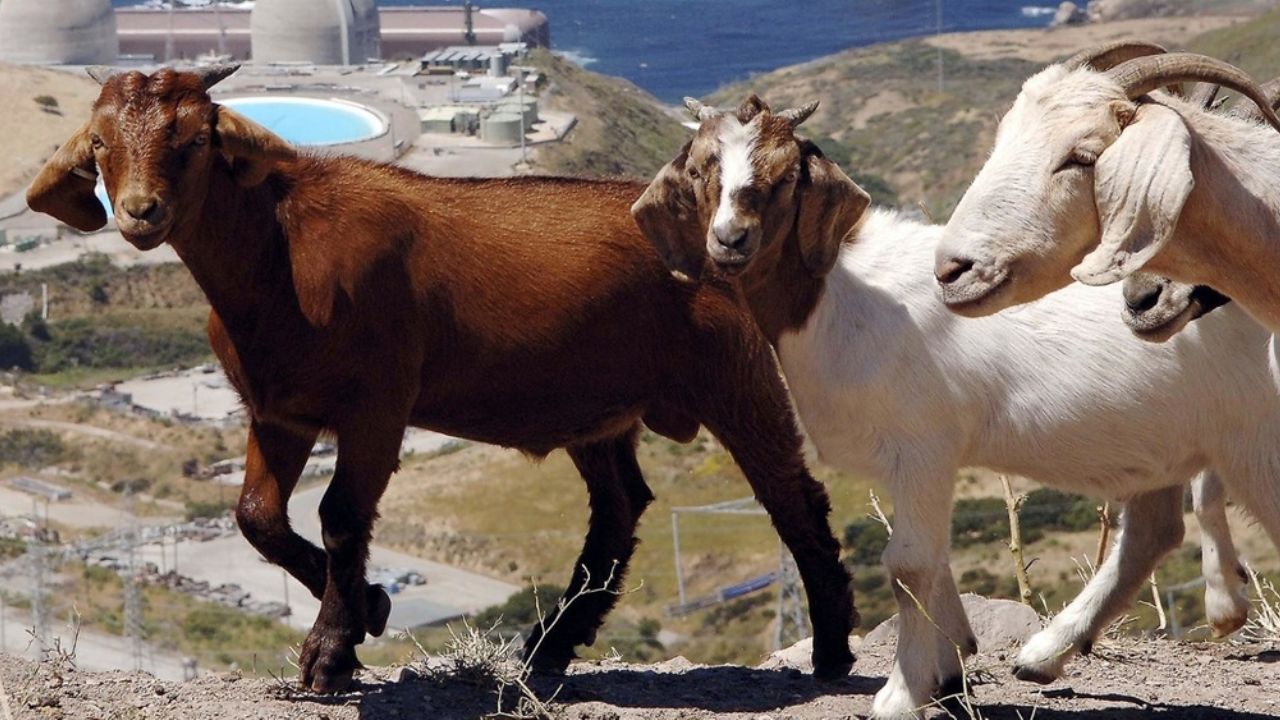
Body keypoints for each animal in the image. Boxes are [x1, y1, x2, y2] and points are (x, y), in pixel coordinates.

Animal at [25, 67, 860, 693]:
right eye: (100, 142)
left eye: (194, 139)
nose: (140, 212)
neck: (279, 256)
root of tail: (727, 236)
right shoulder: (278, 411)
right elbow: (256, 516)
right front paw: (369, 605)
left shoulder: (376, 405)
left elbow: (339, 516)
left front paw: (330, 654)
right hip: (596, 411)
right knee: (620, 508)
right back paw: (549, 646)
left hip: (736, 379)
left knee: (792, 497)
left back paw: (830, 650)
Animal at [633, 96, 1268, 719]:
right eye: (700, 169)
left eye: (787, 174)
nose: (730, 239)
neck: (840, 296)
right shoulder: (920, 464)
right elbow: (932, 558)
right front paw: (948, 666)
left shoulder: (923, 446)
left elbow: (907, 563)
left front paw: (902, 692)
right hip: (1158, 434)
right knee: (1152, 531)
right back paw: (1046, 654)